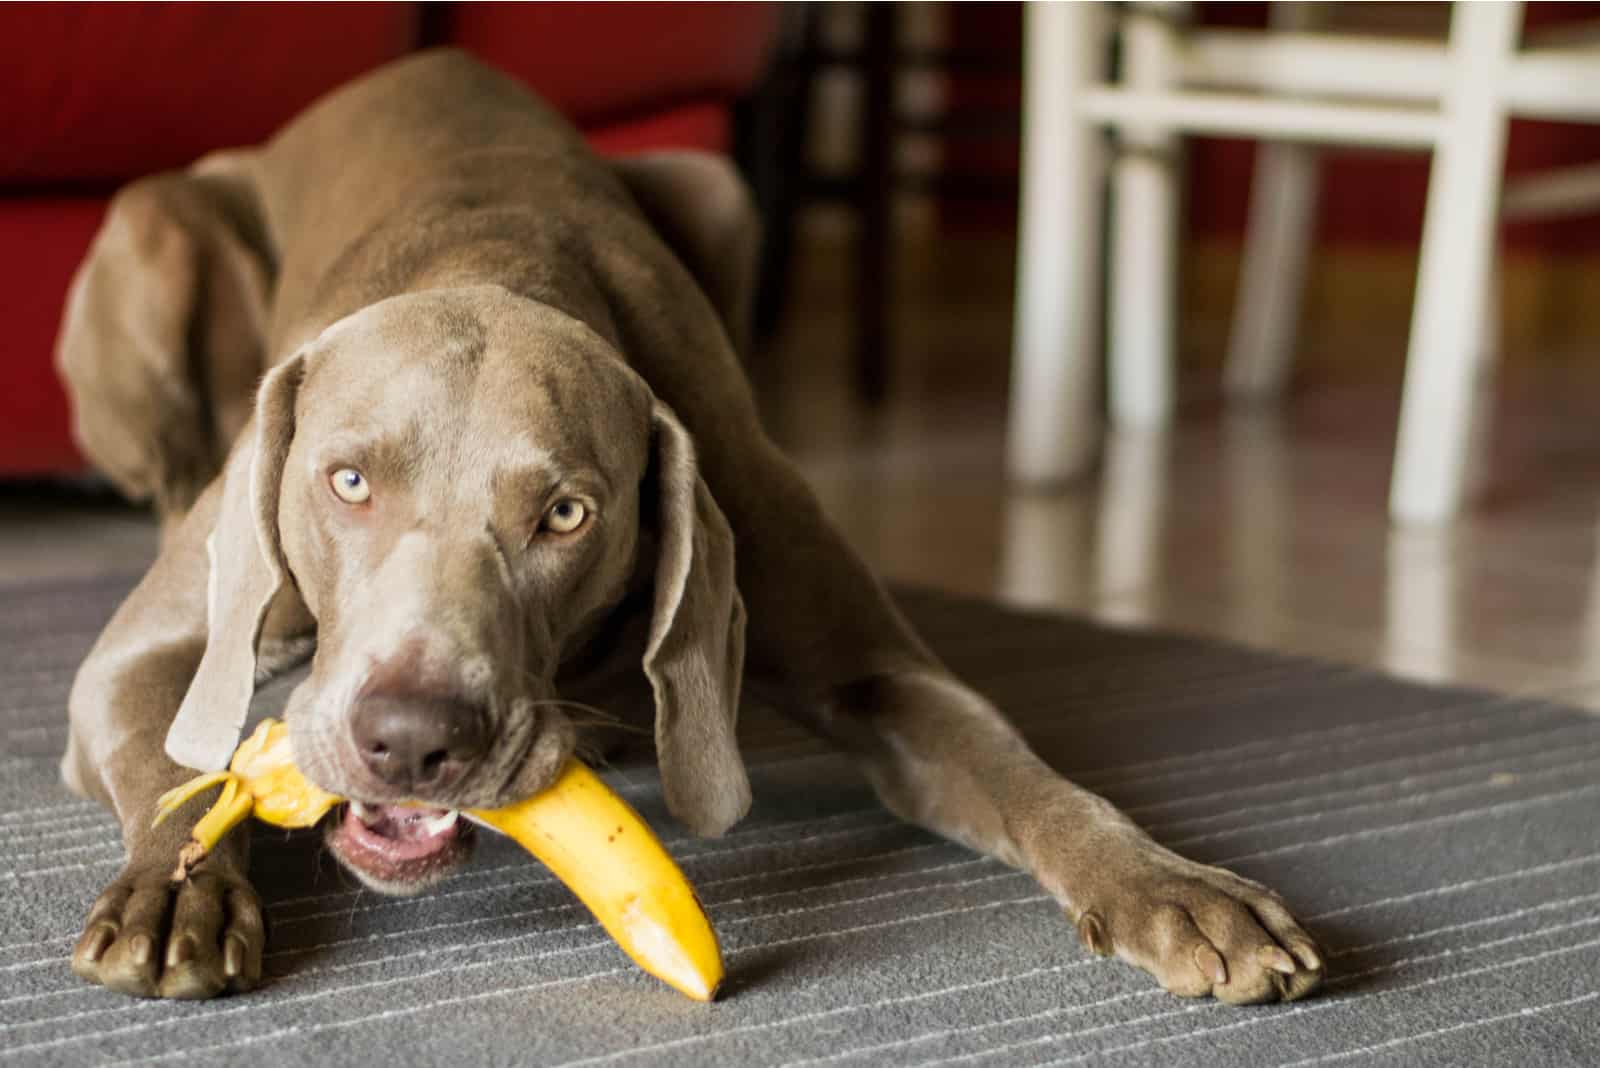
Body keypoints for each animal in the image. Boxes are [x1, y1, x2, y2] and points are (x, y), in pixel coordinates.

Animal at [53, 49, 1324, 1004]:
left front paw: (1168, 885)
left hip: (719, 185)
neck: (494, 260)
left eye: (566, 514)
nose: (413, 740)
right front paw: (175, 890)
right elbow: (173, 765)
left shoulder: (869, 658)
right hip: (153, 230)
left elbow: (1022, 772)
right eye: (348, 481)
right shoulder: (138, 658)